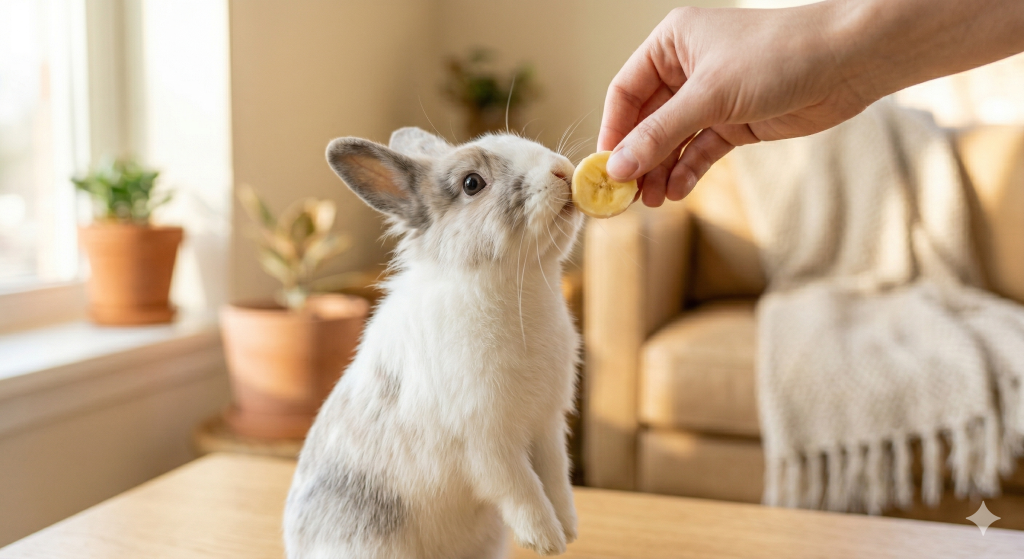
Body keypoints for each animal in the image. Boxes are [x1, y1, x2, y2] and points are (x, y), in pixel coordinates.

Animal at [283, 126, 585, 559]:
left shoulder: (547, 426)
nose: (562, 171)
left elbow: (556, 478)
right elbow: (522, 487)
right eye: (472, 183)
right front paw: (545, 539)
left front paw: (569, 528)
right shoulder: (487, 442)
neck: (516, 284)